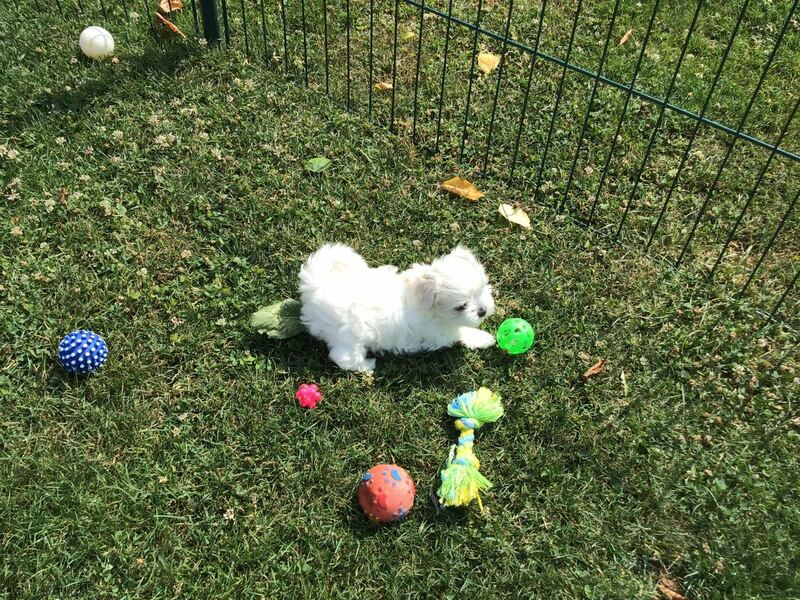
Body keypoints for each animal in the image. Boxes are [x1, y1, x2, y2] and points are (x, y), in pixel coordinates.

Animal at [299, 243, 495, 372]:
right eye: (461, 307)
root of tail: (316, 286)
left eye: (482, 289)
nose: (482, 311)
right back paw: (367, 365)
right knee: (344, 357)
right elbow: (461, 332)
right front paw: (484, 338)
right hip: (347, 335)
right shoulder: (440, 331)